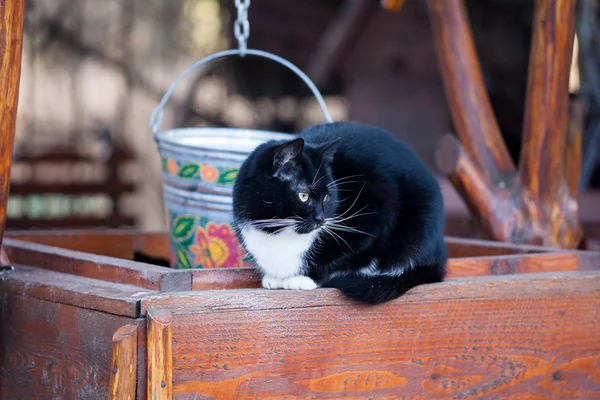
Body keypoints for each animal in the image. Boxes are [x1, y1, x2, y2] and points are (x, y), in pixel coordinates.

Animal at [232, 122, 448, 304]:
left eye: (327, 197)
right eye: (303, 196)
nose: (321, 219)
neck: (278, 231)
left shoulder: (380, 206)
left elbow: (348, 255)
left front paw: (306, 278)